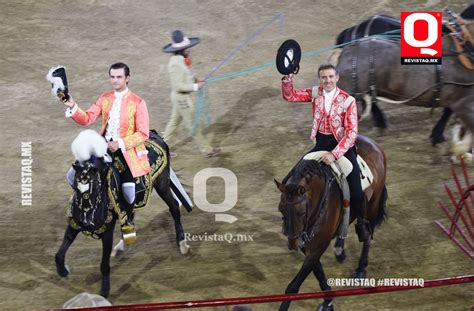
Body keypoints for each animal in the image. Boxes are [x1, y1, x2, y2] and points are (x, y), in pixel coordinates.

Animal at [54, 130, 190, 298]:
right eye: (74, 185)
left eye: (94, 185)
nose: (87, 220)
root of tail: (155, 135)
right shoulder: (73, 226)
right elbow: (59, 254)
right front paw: (63, 271)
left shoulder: (107, 233)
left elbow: (104, 265)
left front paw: (104, 291)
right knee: (131, 214)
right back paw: (121, 244)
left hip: (162, 184)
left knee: (174, 208)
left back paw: (182, 243)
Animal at [274, 136, 388, 311]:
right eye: (281, 210)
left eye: (301, 212)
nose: (293, 244)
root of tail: (373, 144)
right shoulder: (309, 244)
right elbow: (318, 271)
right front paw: (328, 301)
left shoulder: (319, 244)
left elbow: (294, 285)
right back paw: (341, 251)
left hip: (372, 205)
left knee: (368, 235)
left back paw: (361, 269)